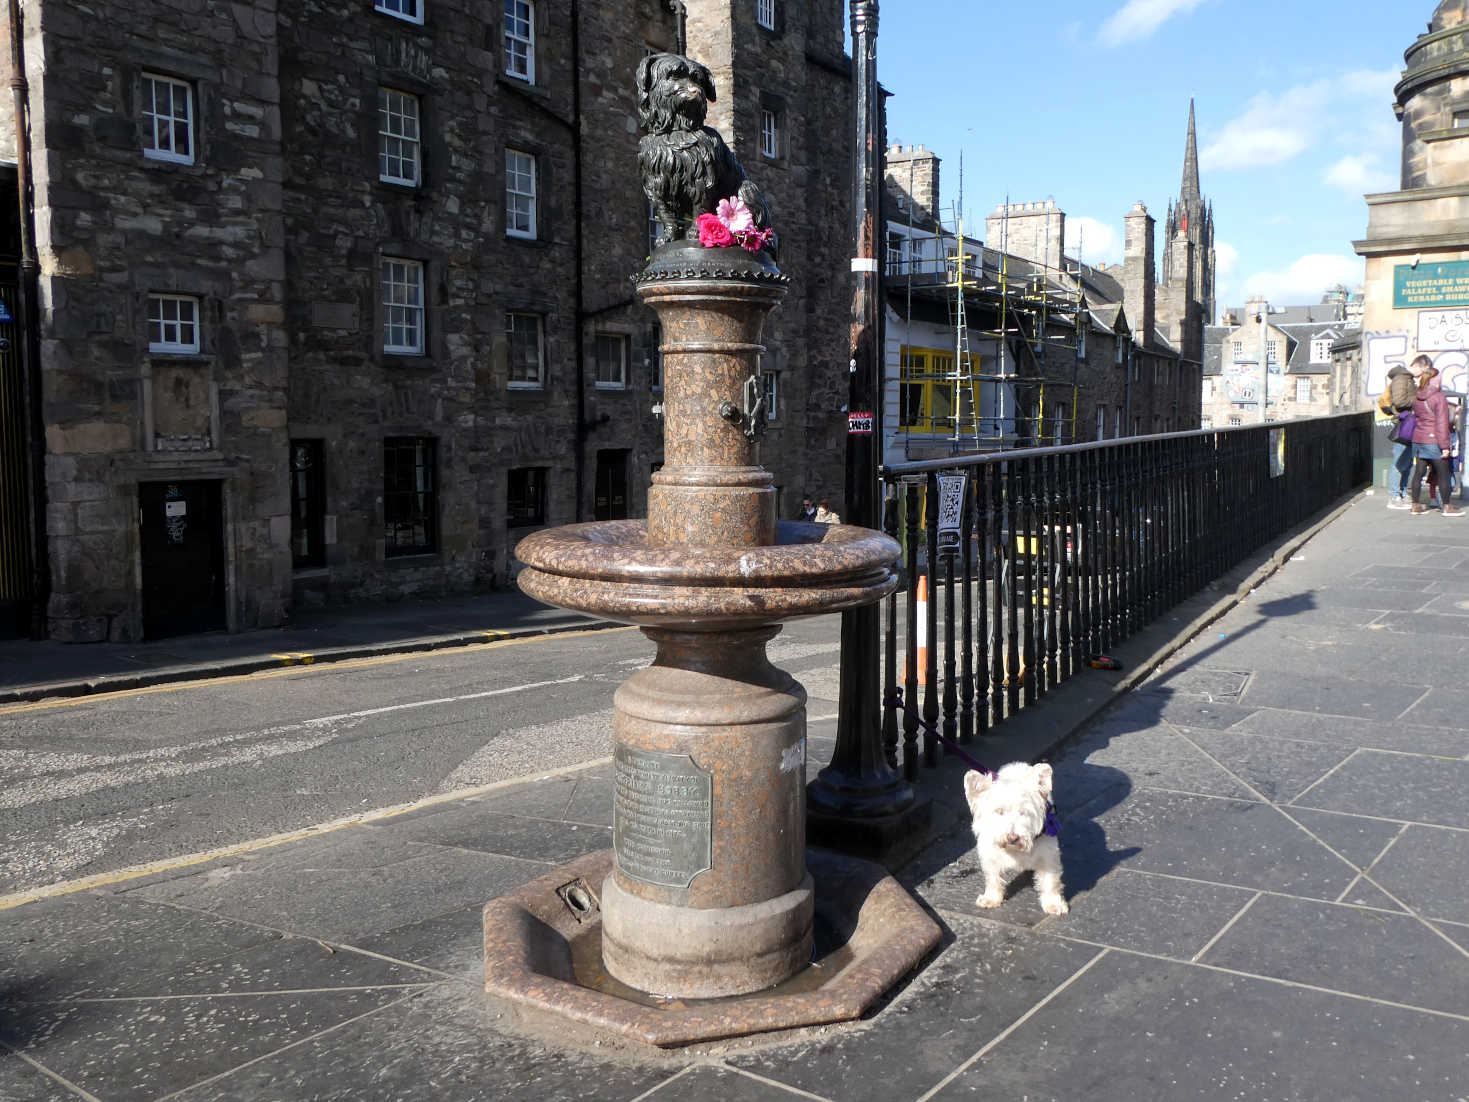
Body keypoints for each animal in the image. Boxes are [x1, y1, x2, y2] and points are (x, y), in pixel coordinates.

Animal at [963, 764, 1069, 916]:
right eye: (999, 811)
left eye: (1023, 812)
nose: (1013, 837)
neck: (1014, 850)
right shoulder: (990, 855)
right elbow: (993, 878)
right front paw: (991, 898)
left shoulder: (1048, 856)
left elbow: (1050, 881)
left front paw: (1054, 904)